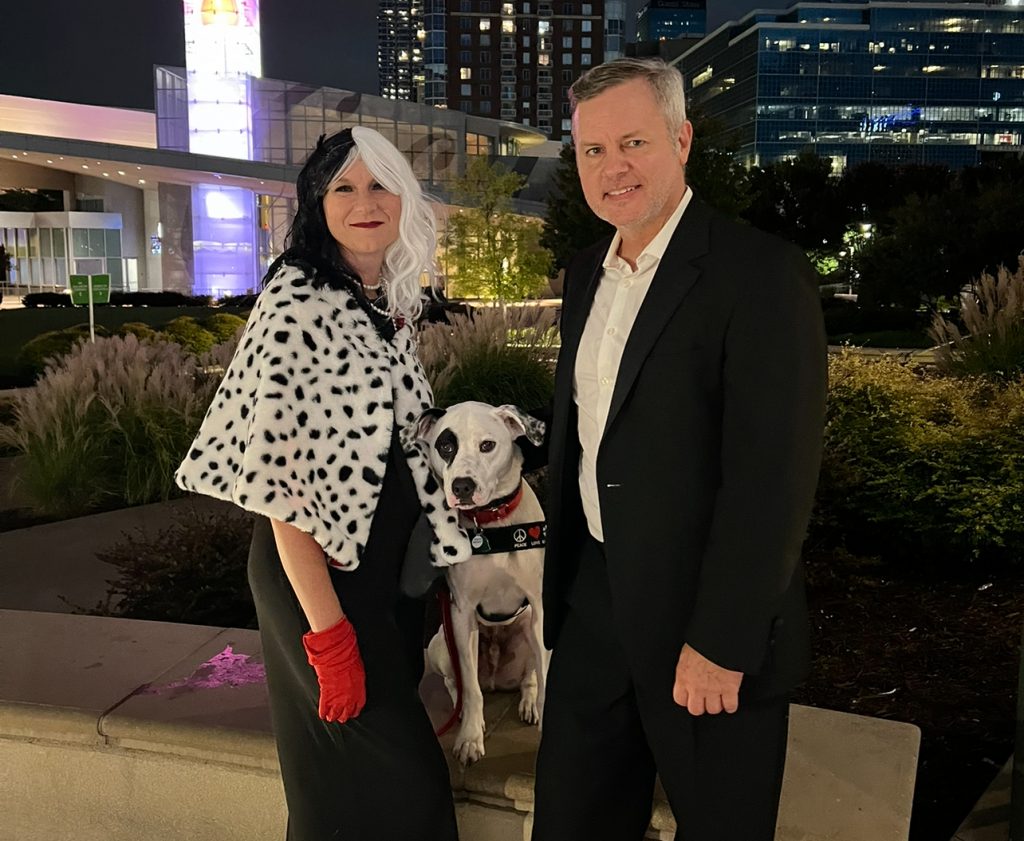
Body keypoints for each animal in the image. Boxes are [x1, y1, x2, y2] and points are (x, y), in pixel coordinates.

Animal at [415, 403, 548, 766]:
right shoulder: (461, 615)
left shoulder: (540, 608)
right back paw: (461, 709)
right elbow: (471, 691)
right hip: (441, 643)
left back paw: (528, 704)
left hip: (527, 631)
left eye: (487, 445)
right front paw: (470, 738)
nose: (461, 486)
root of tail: (495, 680)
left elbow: (545, 677)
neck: (490, 524)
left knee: (529, 677)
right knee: (460, 683)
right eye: (446, 446)